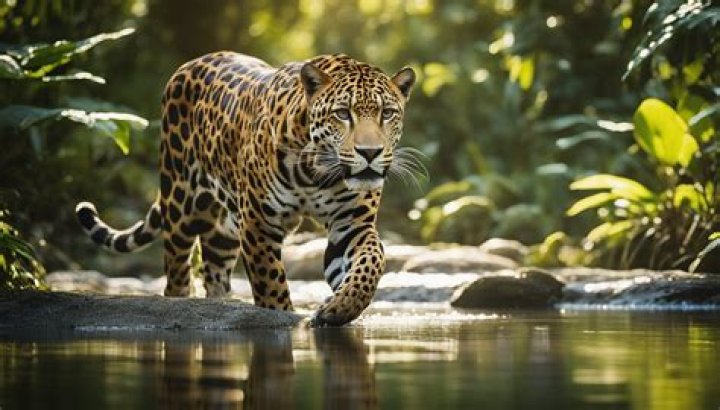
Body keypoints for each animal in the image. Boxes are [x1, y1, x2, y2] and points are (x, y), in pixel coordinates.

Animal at [75, 51, 417, 326]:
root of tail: (190, 63)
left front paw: (340, 307)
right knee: (176, 274)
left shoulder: (351, 225)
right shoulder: (259, 224)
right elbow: (271, 285)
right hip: (180, 206)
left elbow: (371, 263)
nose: (370, 152)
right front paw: (285, 319)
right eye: (343, 114)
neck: (317, 170)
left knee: (213, 270)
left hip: (225, 228)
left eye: (387, 113)